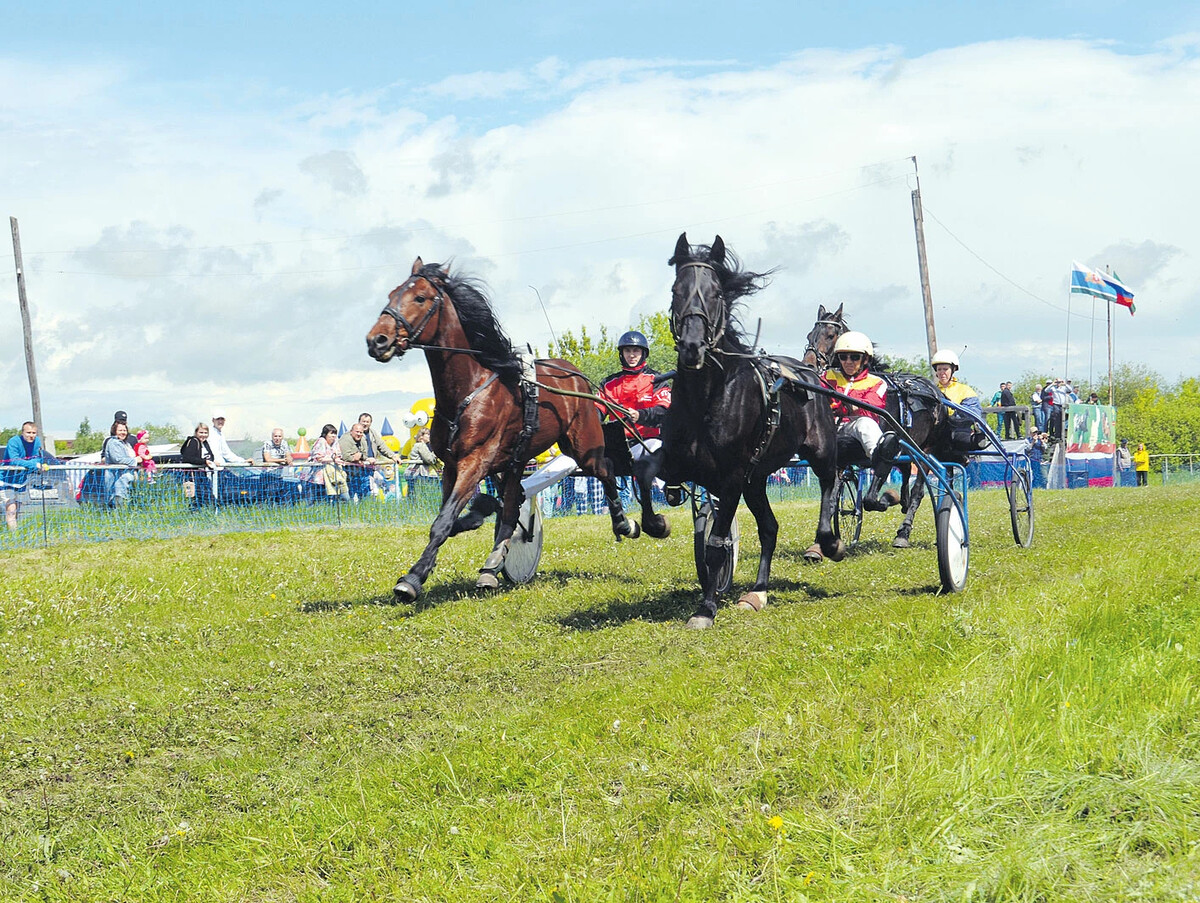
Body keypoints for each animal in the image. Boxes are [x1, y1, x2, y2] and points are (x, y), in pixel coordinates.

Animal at [364, 256, 643, 602]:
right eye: (391, 294)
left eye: (420, 297)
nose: (377, 340)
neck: (470, 389)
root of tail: (575, 374)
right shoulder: (451, 466)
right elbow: (455, 517)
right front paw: (475, 518)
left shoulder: (475, 461)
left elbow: (443, 523)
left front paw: (413, 578)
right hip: (519, 458)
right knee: (512, 505)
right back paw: (492, 564)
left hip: (582, 446)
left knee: (605, 469)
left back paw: (624, 524)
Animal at [652, 232, 840, 629]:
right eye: (676, 289)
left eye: (715, 293)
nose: (692, 347)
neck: (708, 397)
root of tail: (809, 373)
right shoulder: (682, 467)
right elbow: (659, 488)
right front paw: (655, 523)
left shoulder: (732, 477)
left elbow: (716, 543)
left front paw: (705, 608)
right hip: (757, 480)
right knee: (769, 528)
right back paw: (758, 591)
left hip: (818, 452)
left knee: (831, 482)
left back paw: (830, 542)